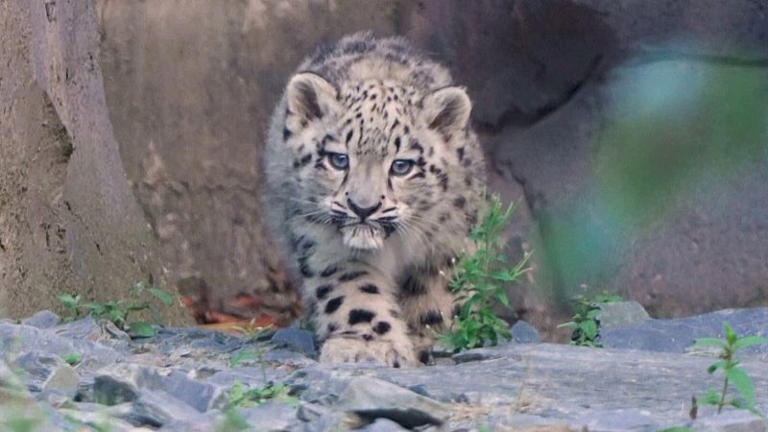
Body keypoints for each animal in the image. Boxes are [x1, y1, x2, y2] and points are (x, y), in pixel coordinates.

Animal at [262, 32, 485, 367]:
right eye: (339, 159)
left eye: (402, 165)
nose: (363, 207)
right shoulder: (325, 244)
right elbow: (354, 292)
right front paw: (369, 346)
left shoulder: (448, 242)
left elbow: (438, 290)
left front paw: (432, 337)